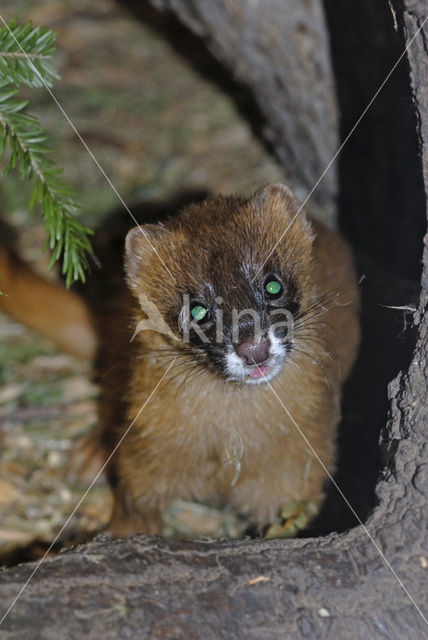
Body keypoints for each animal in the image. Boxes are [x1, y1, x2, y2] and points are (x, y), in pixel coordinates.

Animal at [103, 184, 358, 536]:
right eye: (197, 310)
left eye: (273, 284)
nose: (254, 348)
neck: (229, 451)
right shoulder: (144, 456)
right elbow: (132, 511)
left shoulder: (296, 468)